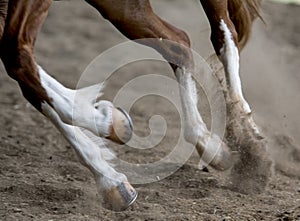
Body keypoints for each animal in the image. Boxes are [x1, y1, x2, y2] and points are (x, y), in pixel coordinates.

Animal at [0, 0, 264, 211]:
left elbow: (18, 58)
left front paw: (111, 121)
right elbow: (30, 83)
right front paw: (111, 181)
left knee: (222, 35)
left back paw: (251, 141)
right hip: (122, 6)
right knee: (178, 42)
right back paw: (211, 144)